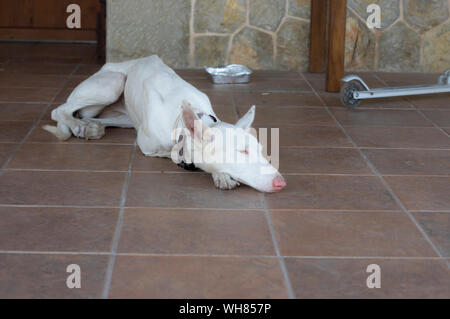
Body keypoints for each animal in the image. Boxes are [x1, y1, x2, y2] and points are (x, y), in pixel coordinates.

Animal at [44, 55, 286, 192]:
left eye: (260, 150)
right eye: (242, 152)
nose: (281, 183)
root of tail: (111, 63)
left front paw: (222, 175)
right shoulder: (149, 146)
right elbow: (175, 153)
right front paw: (219, 173)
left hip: (124, 117)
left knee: (96, 118)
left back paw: (91, 127)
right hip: (111, 84)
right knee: (60, 110)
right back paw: (78, 126)